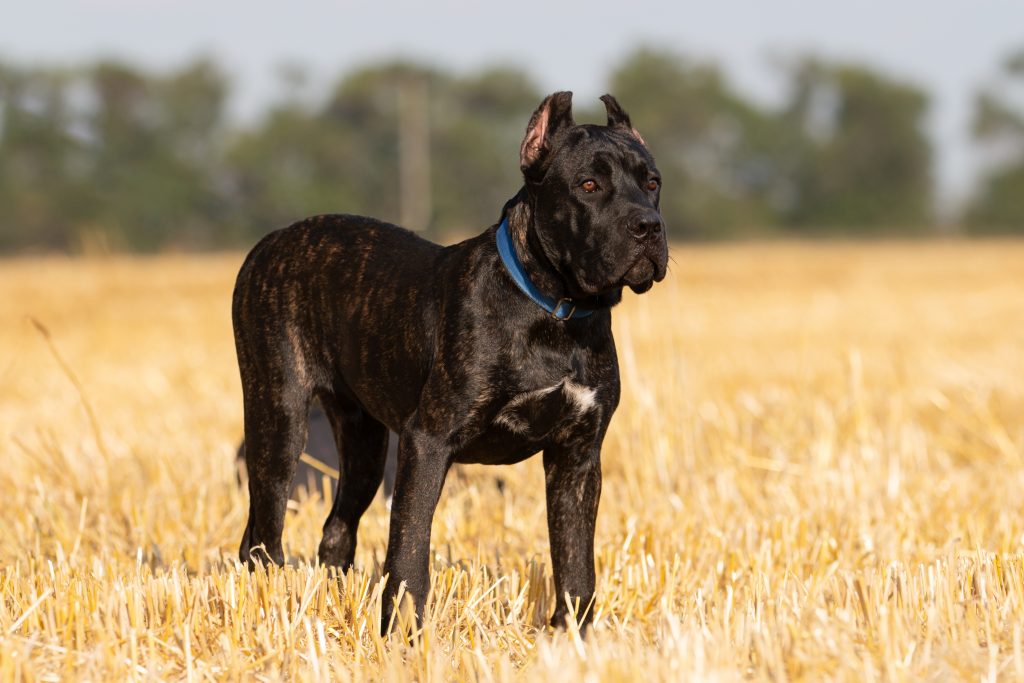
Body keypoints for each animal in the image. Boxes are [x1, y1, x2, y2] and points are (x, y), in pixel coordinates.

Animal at [232, 92, 667, 634]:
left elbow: (574, 561)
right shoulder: (429, 440)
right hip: (280, 421)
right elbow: (410, 549)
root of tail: (270, 242)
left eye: (652, 183)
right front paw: (403, 635)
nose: (649, 226)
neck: (556, 310)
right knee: (261, 538)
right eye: (589, 185)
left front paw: (573, 636)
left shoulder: (578, 457)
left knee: (336, 528)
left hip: (364, 444)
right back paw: (266, 606)